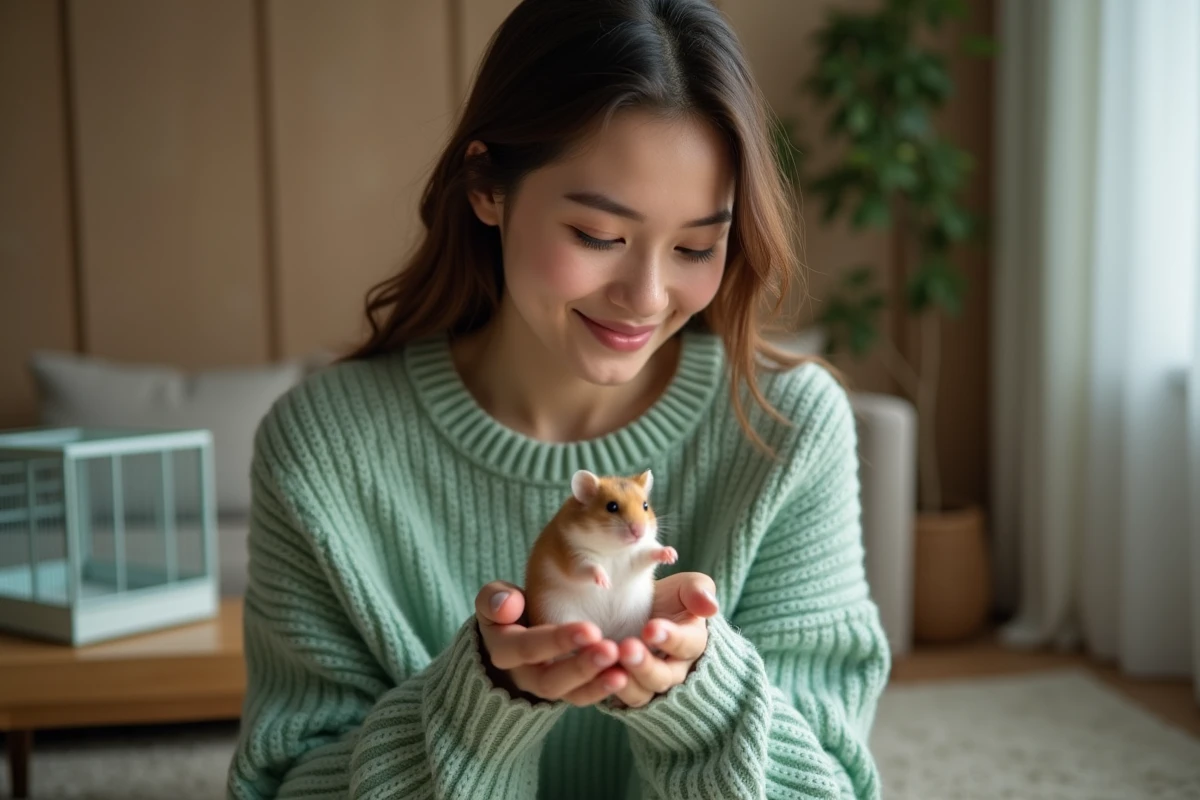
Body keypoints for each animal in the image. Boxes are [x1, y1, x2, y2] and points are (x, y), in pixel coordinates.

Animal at [524, 469, 677, 643]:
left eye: (645, 506)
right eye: (612, 506)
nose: (639, 532)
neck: (614, 550)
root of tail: (606, 633)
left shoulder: (637, 554)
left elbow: (650, 552)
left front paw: (671, 555)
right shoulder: (573, 553)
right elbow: (589, 567)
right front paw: (606, 582)